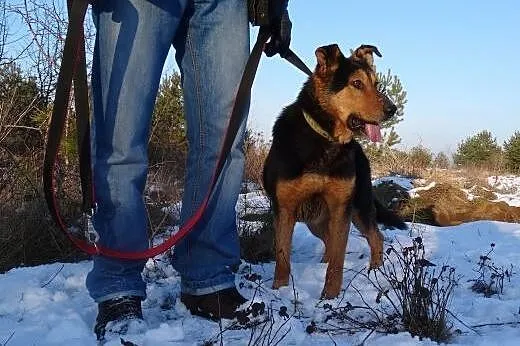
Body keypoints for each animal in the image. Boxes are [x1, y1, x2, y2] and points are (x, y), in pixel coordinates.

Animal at [264, 42, 406, 298]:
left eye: (376, 84)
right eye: (356, 83)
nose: (393, 109)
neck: (326, 139)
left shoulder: (341, 207)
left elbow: (339, 259)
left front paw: (329, 296)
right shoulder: (285, 209)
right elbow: (282, 256)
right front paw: (279, 290)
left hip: (358, 206)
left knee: (376, 237)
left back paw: (375, 271)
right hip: (316, 220)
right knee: (330, 240)